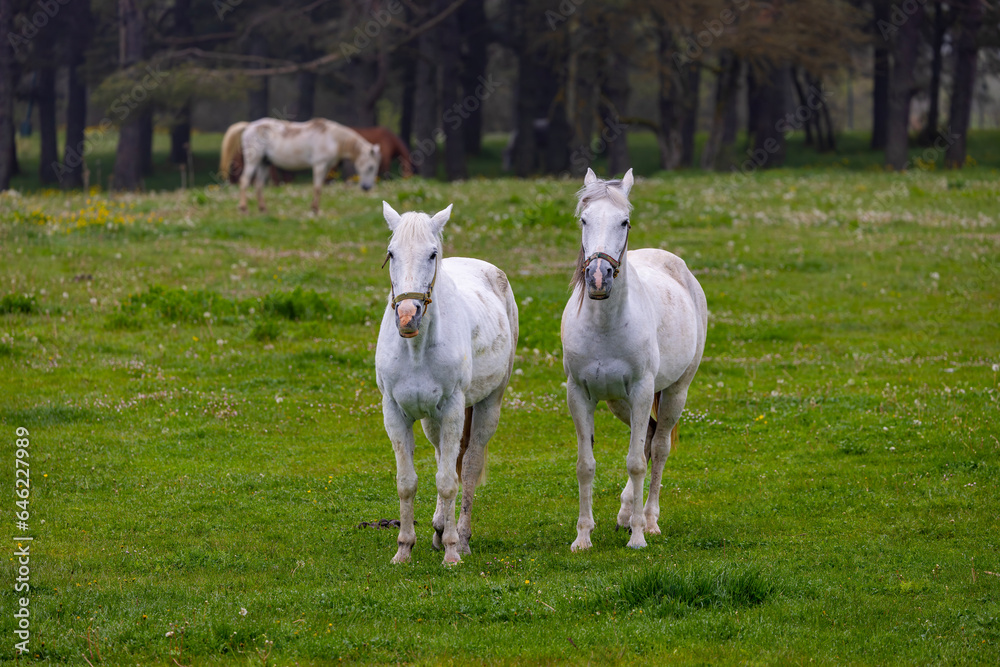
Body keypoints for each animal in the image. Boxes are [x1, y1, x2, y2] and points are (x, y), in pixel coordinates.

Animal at [235, 118, 381, 214]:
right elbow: (317, 187)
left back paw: (263, 209)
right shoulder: (319, 165)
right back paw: (243, 208)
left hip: (264, 163)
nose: (367, 187)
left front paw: (314, 207)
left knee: (258, 184)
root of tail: (249, 126)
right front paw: (315, 209)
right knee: (244, 181)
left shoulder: (326, 167)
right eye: (371, 167)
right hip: (253, 160)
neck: (333, 138)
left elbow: (319, 187)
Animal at [375, 201, 518, 565]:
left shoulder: (454, 408)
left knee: (468, 466)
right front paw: (404, 548)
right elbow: (407, 482)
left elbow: (449, 481)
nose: (407, 316)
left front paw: (453, 552)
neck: (416, 350)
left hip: (488, 404)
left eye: (432, 254)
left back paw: (460, 537)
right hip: (431, 420)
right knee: (446, 457)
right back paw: (440, 528)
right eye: (391, 253)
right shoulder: (395, 412)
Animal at [560, 168, 707, 551]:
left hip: (674, 393)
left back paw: (649, 520)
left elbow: (637, 463)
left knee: (659, 446)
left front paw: (639, 537)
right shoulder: (579, 394)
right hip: (618, 402)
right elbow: (585, 465)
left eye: (624, 221)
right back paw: (627, 514)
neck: (604, 325)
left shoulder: (642, 391)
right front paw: (582, 537)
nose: (598, 277)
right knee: (648, 438)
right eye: (584, 219)